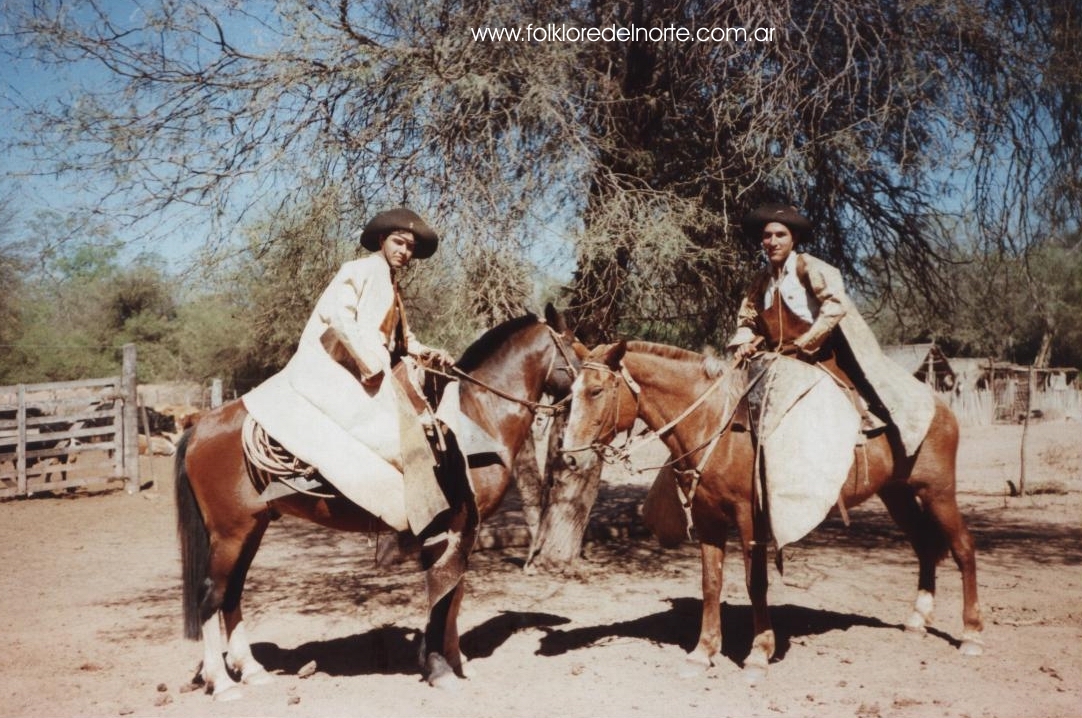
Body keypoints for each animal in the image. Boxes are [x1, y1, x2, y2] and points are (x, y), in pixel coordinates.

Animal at [175, 304, 584, 700]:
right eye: (576, 353)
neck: (476, 416)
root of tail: (201, 425)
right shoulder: (451, 527)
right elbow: (443, 594)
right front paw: (439, 668)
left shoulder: (463, 529)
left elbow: (454, 593)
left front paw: (457, 661)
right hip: (230, 532)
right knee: (211, 595)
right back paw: (222, 682)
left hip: (252, 528)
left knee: (232, 594)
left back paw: (251, 670)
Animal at [562, 341, 986, 679]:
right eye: (571, 391)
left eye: (596, 390)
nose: (568, 458)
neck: (714, 423)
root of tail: (940, 406)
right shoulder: (708, 520)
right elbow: (711, 583)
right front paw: (703, 652)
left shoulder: (750, 519)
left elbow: (757, 583)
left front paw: (759, 653)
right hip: (897, 494)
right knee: (925, 546)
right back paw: (917, 619)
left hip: (938, 491)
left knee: (963, 547)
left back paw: (971, 633)